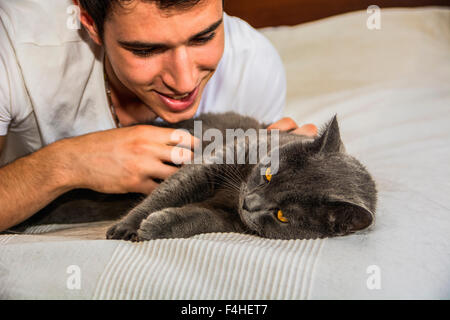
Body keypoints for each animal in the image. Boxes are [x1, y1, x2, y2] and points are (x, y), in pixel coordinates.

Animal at [104, 112, 376, 240]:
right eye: (268, 174)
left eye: (281, 215)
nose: (248, 203)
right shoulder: (211, 163)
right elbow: (168, 192)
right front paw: (126, 227)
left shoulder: (232, 220)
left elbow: (201, 218)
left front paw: (155, 226)